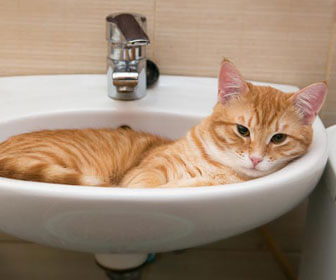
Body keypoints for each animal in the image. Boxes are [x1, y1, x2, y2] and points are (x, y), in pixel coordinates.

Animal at [0, 60, 326, 188]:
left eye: (278, 138)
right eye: (242, 130)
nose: (257, 159)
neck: (218, 168)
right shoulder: (147, 172)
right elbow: (148, 184)